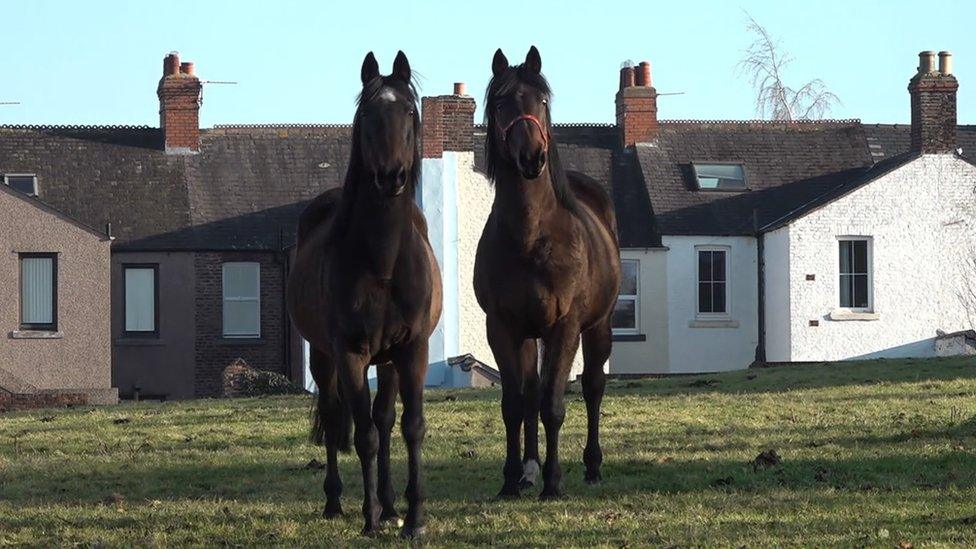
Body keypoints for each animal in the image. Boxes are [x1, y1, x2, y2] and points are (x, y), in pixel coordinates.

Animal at [286, 51, 442, 536]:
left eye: (409, 111)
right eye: (368, 115)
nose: (391, 176)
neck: (383, 260)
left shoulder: (412, 350)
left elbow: (409, 426)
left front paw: (413, 517)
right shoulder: (350, 353)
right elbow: (364, 436)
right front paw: (369, 519)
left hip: (388, 361)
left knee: (385, 418)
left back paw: (390, 506)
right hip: (324, 356)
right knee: (337, 416)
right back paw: (337, 502)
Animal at [470, 47, 616, 498]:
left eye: (543, 100)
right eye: (501, 103)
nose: (533, 157)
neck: (531, 236)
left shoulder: (564, 327)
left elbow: (553, 405)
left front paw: (554, 482)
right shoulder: (503, 327)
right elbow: (515, 404)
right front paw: (510, 481)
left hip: (598, 326)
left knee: (592, 387)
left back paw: (591, 466)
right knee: (531, 393)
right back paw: (529, 470)